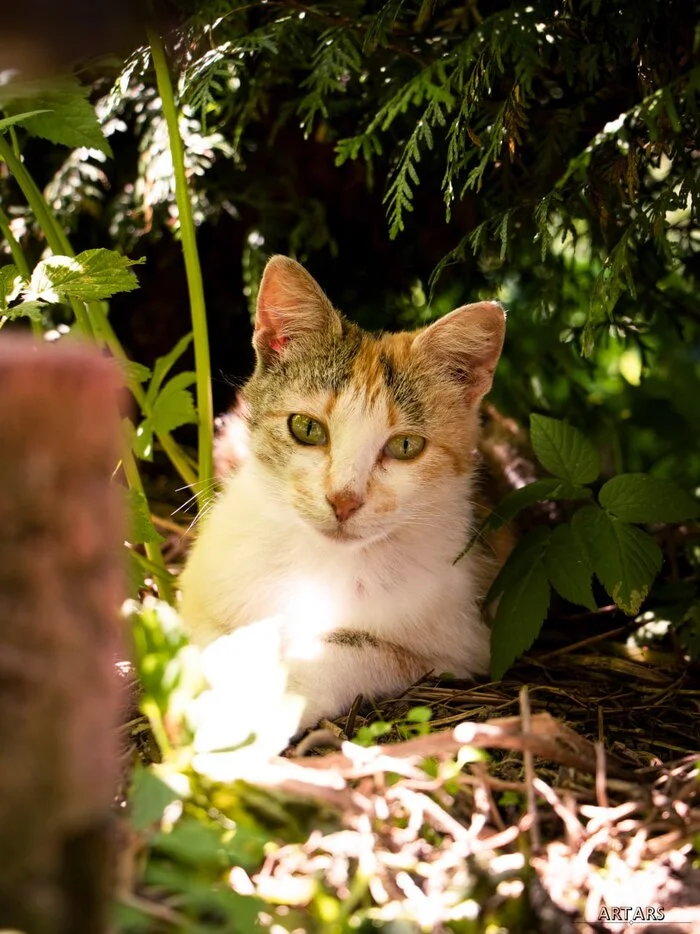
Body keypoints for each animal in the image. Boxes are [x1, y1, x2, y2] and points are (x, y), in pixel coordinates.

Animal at [179, 258, 508, 740]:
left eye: (405, 446)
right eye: (306, 428)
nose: (344, 500)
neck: (318, 565)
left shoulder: (465, 644)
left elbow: (352, 646)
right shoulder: (199, 588)